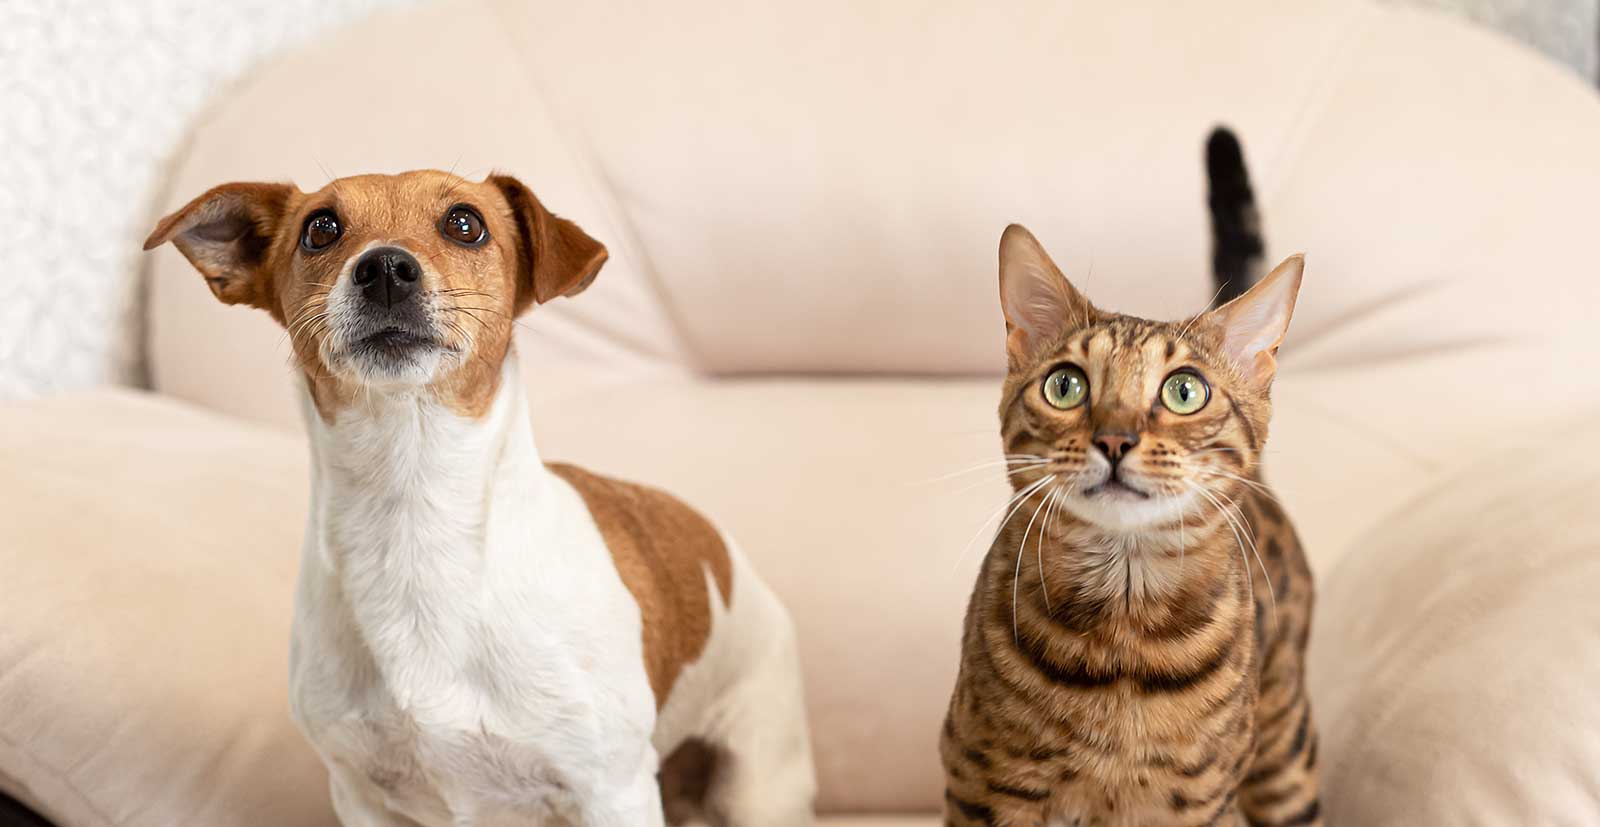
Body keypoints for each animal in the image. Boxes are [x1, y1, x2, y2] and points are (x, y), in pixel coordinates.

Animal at [145, 169, 819, 825]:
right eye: (320, 228)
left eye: (465, 224)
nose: (384, 267)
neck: (413, 511)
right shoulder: (362, 796)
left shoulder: (613, 790)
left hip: (760, 780)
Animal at [934, 130, 1324, 825]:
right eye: (1065, 385)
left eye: (1185, 391)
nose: (1115, 439)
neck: (1123, 641)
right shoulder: (981, 784)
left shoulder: (1202, 805)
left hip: (1286, 751)